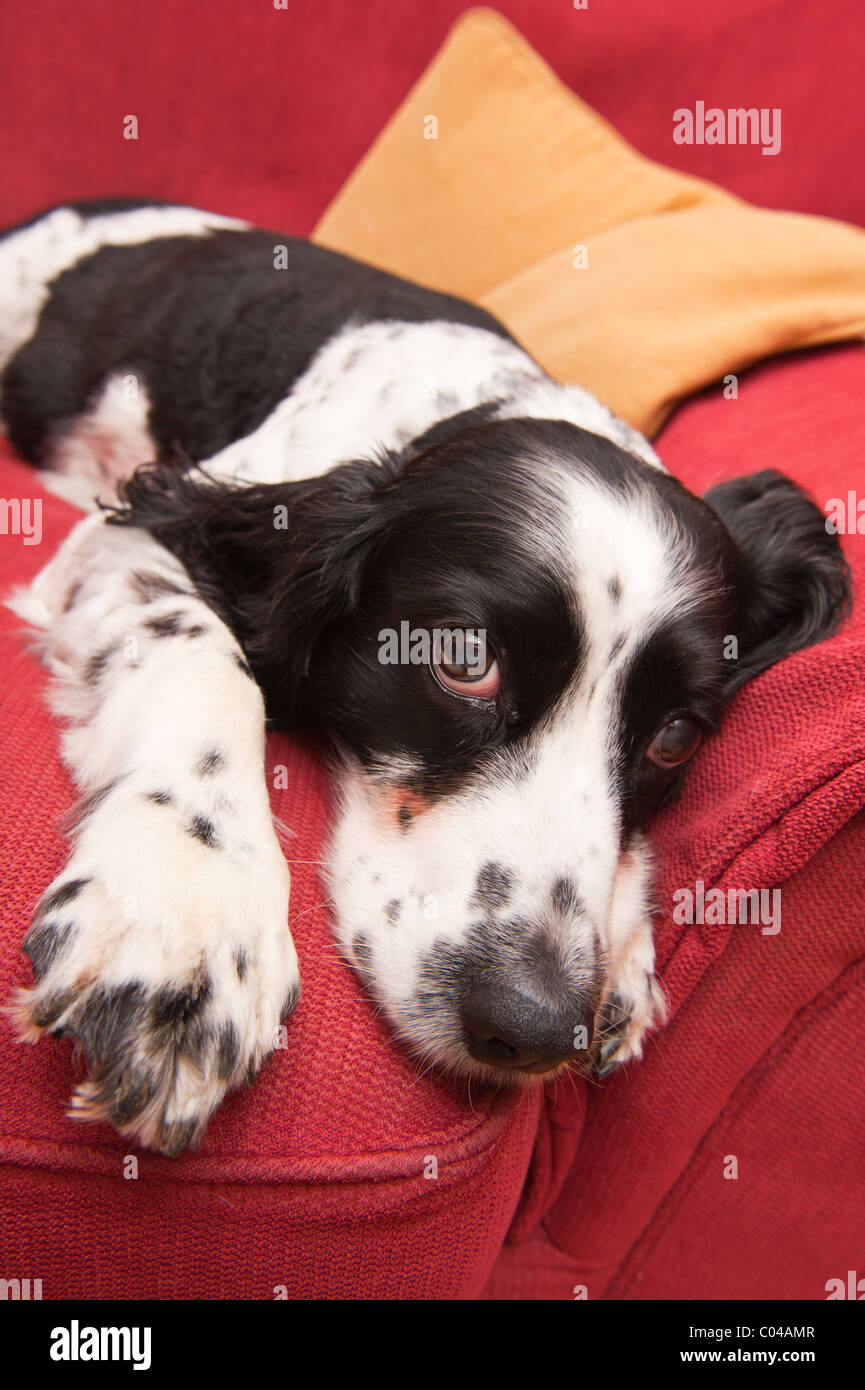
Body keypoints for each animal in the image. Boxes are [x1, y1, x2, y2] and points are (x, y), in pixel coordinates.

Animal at [0, 195, 856, 1150]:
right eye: (462, 663)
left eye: (674, 736)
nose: (532, 1026)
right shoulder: (138, 530)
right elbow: (199, 654)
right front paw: (185, 908)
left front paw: (628, 950)